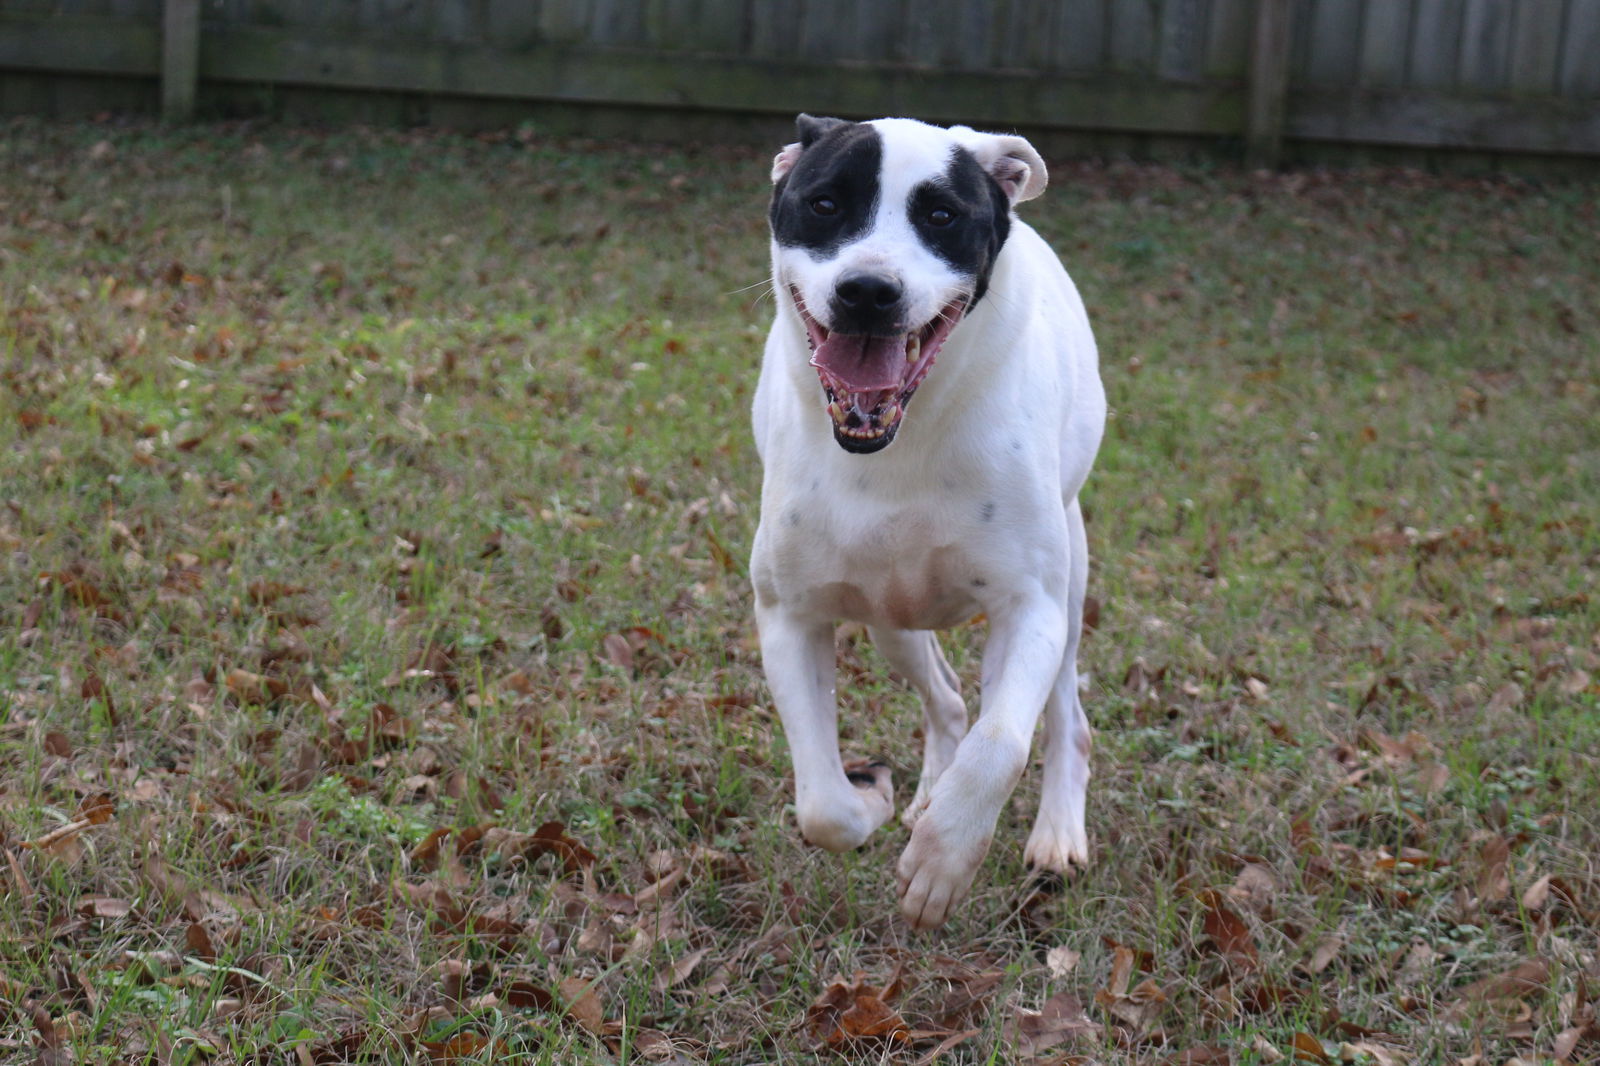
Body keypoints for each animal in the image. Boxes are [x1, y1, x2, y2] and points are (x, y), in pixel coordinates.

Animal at [745, 116, 1100, 928]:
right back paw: (926, 791)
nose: (869, 291)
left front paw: (944, 861)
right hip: (890, 619)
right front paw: (871, 802)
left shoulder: (1030, 607)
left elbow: (1001, 743)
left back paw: (1056, 832)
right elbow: (822, 808)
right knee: (945, 698)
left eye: (940, 216)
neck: (895, 443)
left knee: (1063, 719)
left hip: (1070, 585)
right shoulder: (790, 615)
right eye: (825, 203)